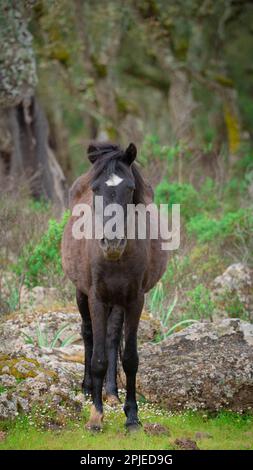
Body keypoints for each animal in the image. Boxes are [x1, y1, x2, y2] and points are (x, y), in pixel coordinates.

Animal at [61, 141, 168, 432]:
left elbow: (129, 358)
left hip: (118, 301)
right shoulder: (96, 298)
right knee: (88, 334)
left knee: (110, 338)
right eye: (96, 189)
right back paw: (89, 389)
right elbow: (98, 358)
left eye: (129, 188)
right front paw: (96, 416)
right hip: (82, 294)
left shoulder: (134, 300)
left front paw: (131, 415)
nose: (112, 243)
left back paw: (111, 392)